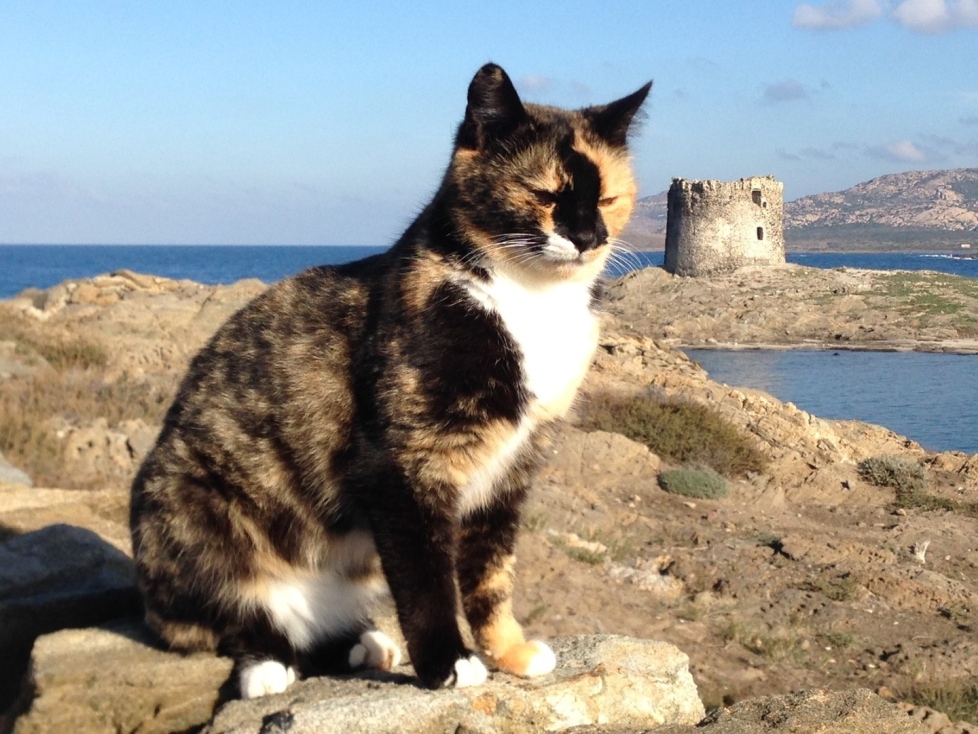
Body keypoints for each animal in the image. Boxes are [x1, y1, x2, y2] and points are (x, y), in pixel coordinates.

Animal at [130, 63, 648, 700]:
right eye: (545, 193)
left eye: (608, 197)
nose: (589, 236)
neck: (528, 302)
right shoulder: (401, 466)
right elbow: (426, 578)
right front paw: (449, 663)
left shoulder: (511, 470)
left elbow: (490, 573)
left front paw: (508, 651)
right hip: (186, 510)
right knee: (230, 615)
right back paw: (267, 664)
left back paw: (361, 644)